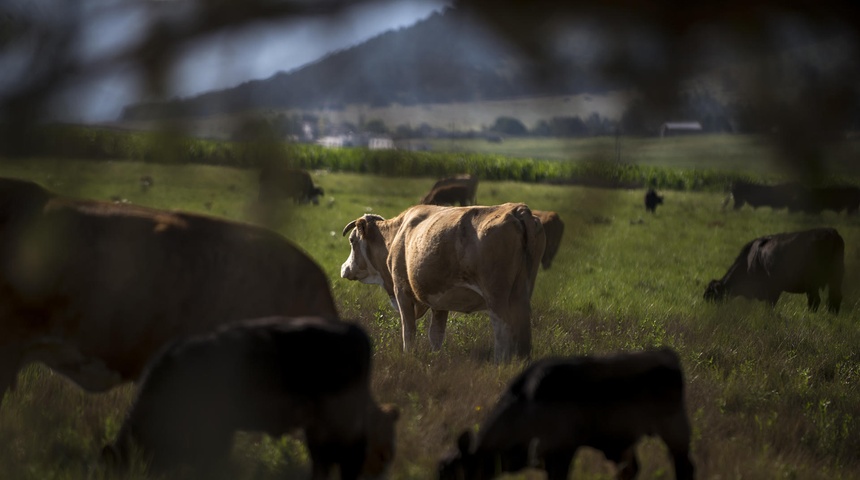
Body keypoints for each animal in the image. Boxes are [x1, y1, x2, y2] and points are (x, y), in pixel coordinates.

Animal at [338, 202, 544, 360]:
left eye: (352, 240)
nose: (343, 268)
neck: (396, 236)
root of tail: (516, 209)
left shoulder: (402, 291)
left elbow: (408, 331)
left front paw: (408, 357)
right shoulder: (440, 300)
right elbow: (435, 335)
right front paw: (435, 359)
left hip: (497, 297)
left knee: (503, 331)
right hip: (521, 294)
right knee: (522, 330)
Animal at [704, 227, 848, 314]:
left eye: (711, 293)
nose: (705, 300)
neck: (750, 259)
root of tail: (831, 232)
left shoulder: (772, 288)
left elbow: (770, 306)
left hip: (813, 283)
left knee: (815, 301)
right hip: (835, 278)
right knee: (834, 299)